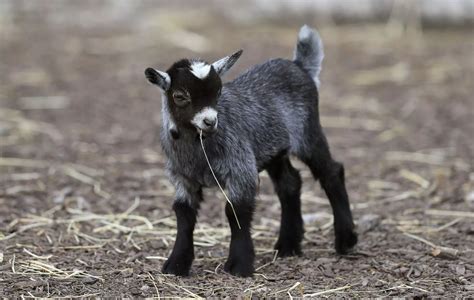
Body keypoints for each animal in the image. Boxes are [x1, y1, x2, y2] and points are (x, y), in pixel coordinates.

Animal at [144, 25, 356, 276]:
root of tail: (299, 66)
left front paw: (239, 265)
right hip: (275, 149)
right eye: (180, 96)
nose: (210, 121)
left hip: (308, 133)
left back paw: (346, 240)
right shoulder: (182, 178)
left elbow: (235, 211)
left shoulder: (240, 169)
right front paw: (176, 264)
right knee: (290, 183)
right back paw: (288, 246)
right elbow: (183, 214)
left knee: (331, 172)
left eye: (218, 91)